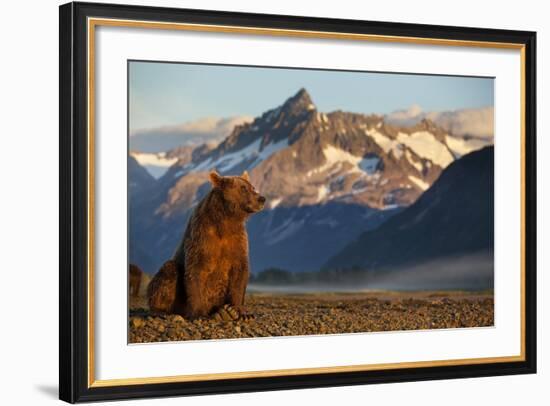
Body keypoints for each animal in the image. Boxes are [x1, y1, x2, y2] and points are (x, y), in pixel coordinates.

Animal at [148, 170, 266, 320]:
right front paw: (199, 314)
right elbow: (196, 271)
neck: (226, 219)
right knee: (168, 272)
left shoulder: (237, 240)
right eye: (243, 188)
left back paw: (224, 313)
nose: (262, 198)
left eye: (252, 187)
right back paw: (161, 311)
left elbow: (240, 272)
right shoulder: (202, 238)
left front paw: (240, 311)